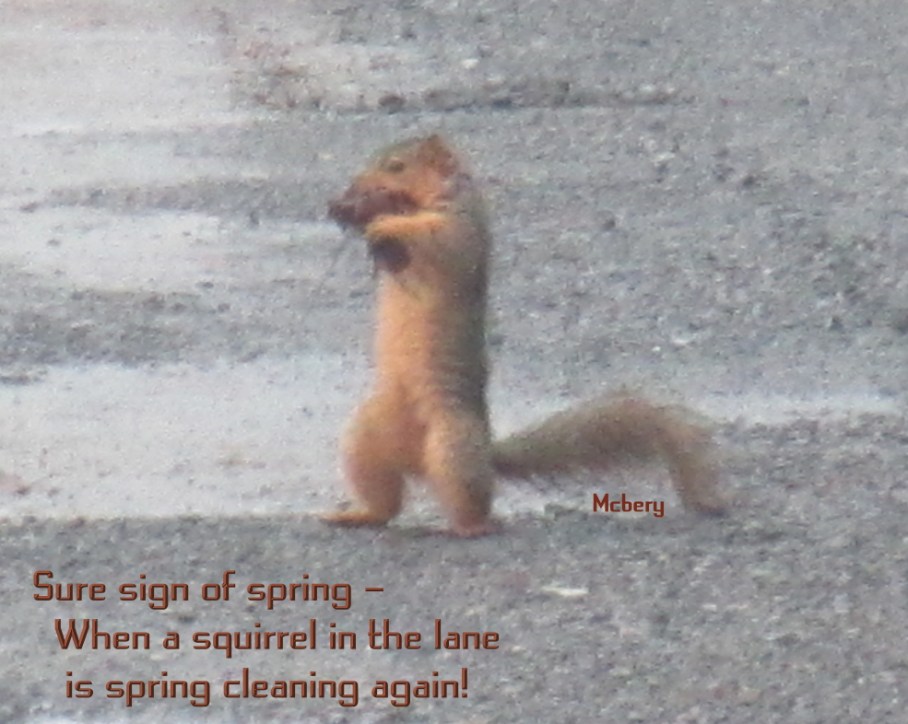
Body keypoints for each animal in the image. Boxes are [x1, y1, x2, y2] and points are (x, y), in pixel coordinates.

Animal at [324, 134, 725, 537]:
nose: (352, 191)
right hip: (365, 440)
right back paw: (356, 515)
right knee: (384, 501)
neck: (427, 198)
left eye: (396, 166)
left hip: (453, 444)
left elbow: (440, 240)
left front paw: (386, 223)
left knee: (468, 498)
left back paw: (474, 526)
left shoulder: (463, 225)